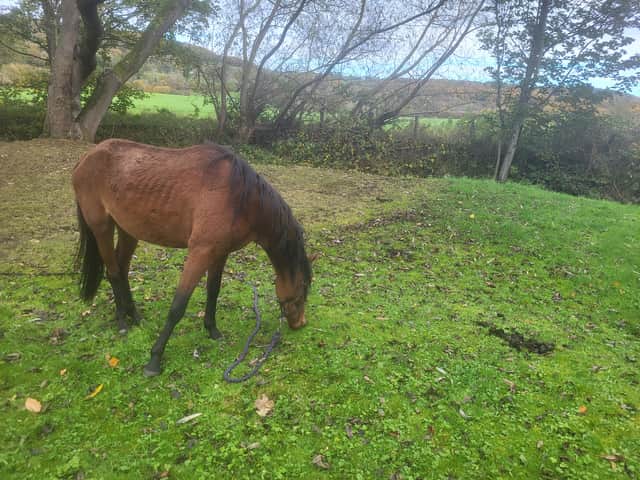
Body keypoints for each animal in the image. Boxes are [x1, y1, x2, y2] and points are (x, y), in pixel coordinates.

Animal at [72, 139, 315, 376]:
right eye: (303, 286)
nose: (301, 322)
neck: (237, 196)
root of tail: (85, 158)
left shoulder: (219, 252)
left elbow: (213, 291)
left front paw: (212, 330)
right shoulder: (200, 252)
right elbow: (178, 306)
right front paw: (154, 360)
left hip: (128, 230)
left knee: (122, 270)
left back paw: (135, 316)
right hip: (102, 228)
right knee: (113, 272)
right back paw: (122, 320)